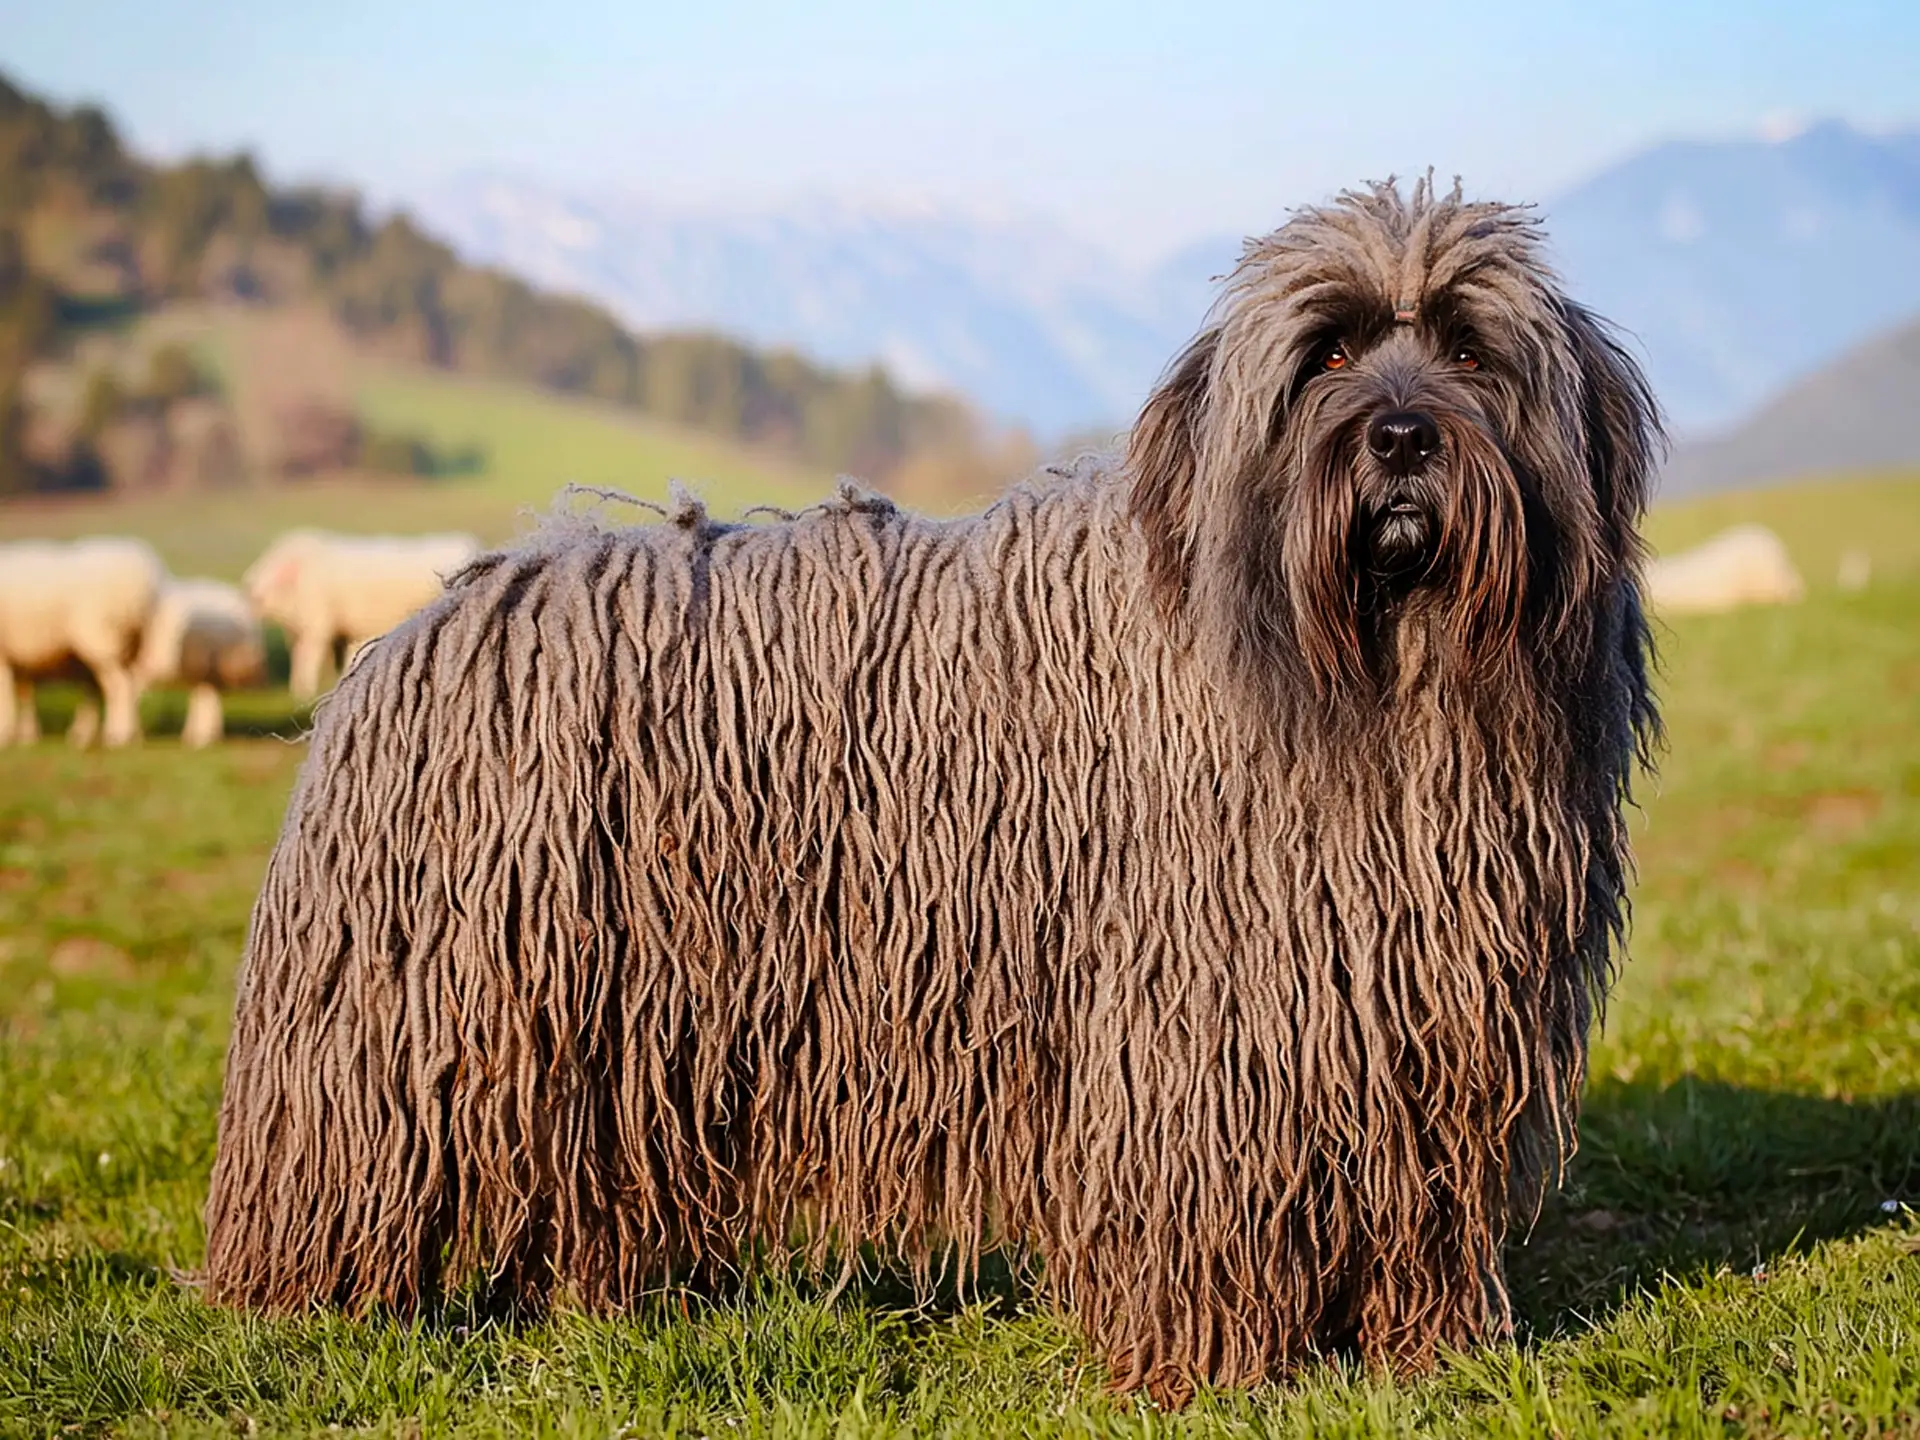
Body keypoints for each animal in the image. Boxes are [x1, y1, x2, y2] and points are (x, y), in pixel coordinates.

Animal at [0, 537, 166, 748]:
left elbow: (6, 692)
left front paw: (6, 734)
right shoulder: (19, 655)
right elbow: (24, 691)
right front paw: (27, 736)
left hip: (101, 637)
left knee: (118, 685)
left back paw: (116, 735)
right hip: (132, 643)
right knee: (129, 685)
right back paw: (130, 735)